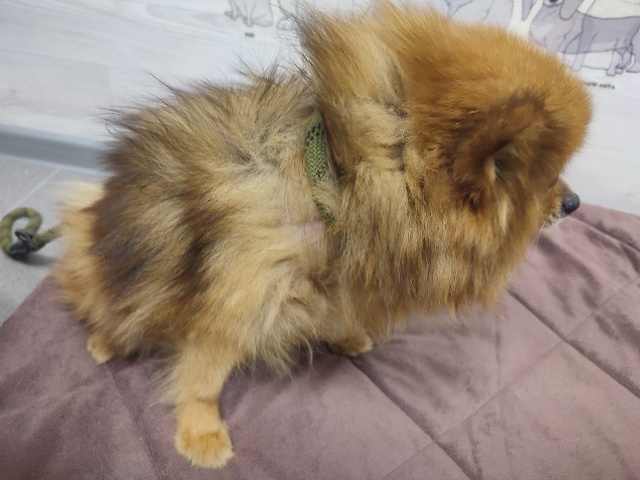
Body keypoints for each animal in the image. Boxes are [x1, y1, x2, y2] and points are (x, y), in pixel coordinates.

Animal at [54, 2, 592, 468]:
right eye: (549, 180)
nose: (575, 202)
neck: (333, 185)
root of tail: (94, 212)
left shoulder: (332, 282)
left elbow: (333, 311)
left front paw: (346, 336)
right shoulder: (233, 310)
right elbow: (203, 379)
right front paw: (201, 432)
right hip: (112, 275)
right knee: (109, 308)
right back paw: (106, 341)